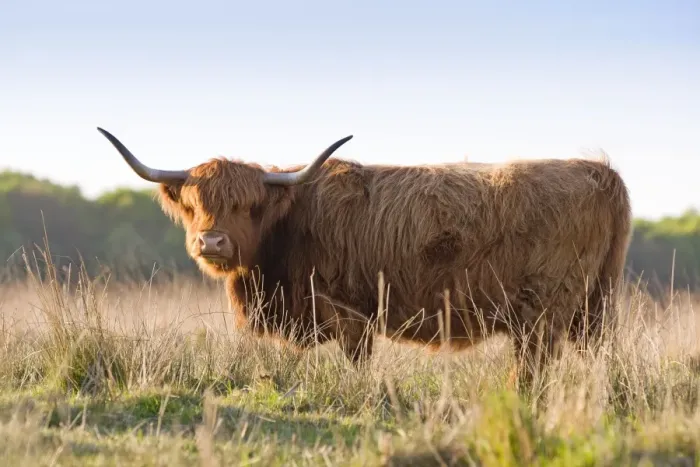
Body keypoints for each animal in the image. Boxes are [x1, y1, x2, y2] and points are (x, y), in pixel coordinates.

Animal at [97, 127, 632, 389]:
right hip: (592, 311)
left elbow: (358, 364)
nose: (211, 243)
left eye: (250, 207)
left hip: (542, 314)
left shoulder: (349, 312)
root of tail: (599, 172)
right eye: (193, 205)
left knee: (532, 369)